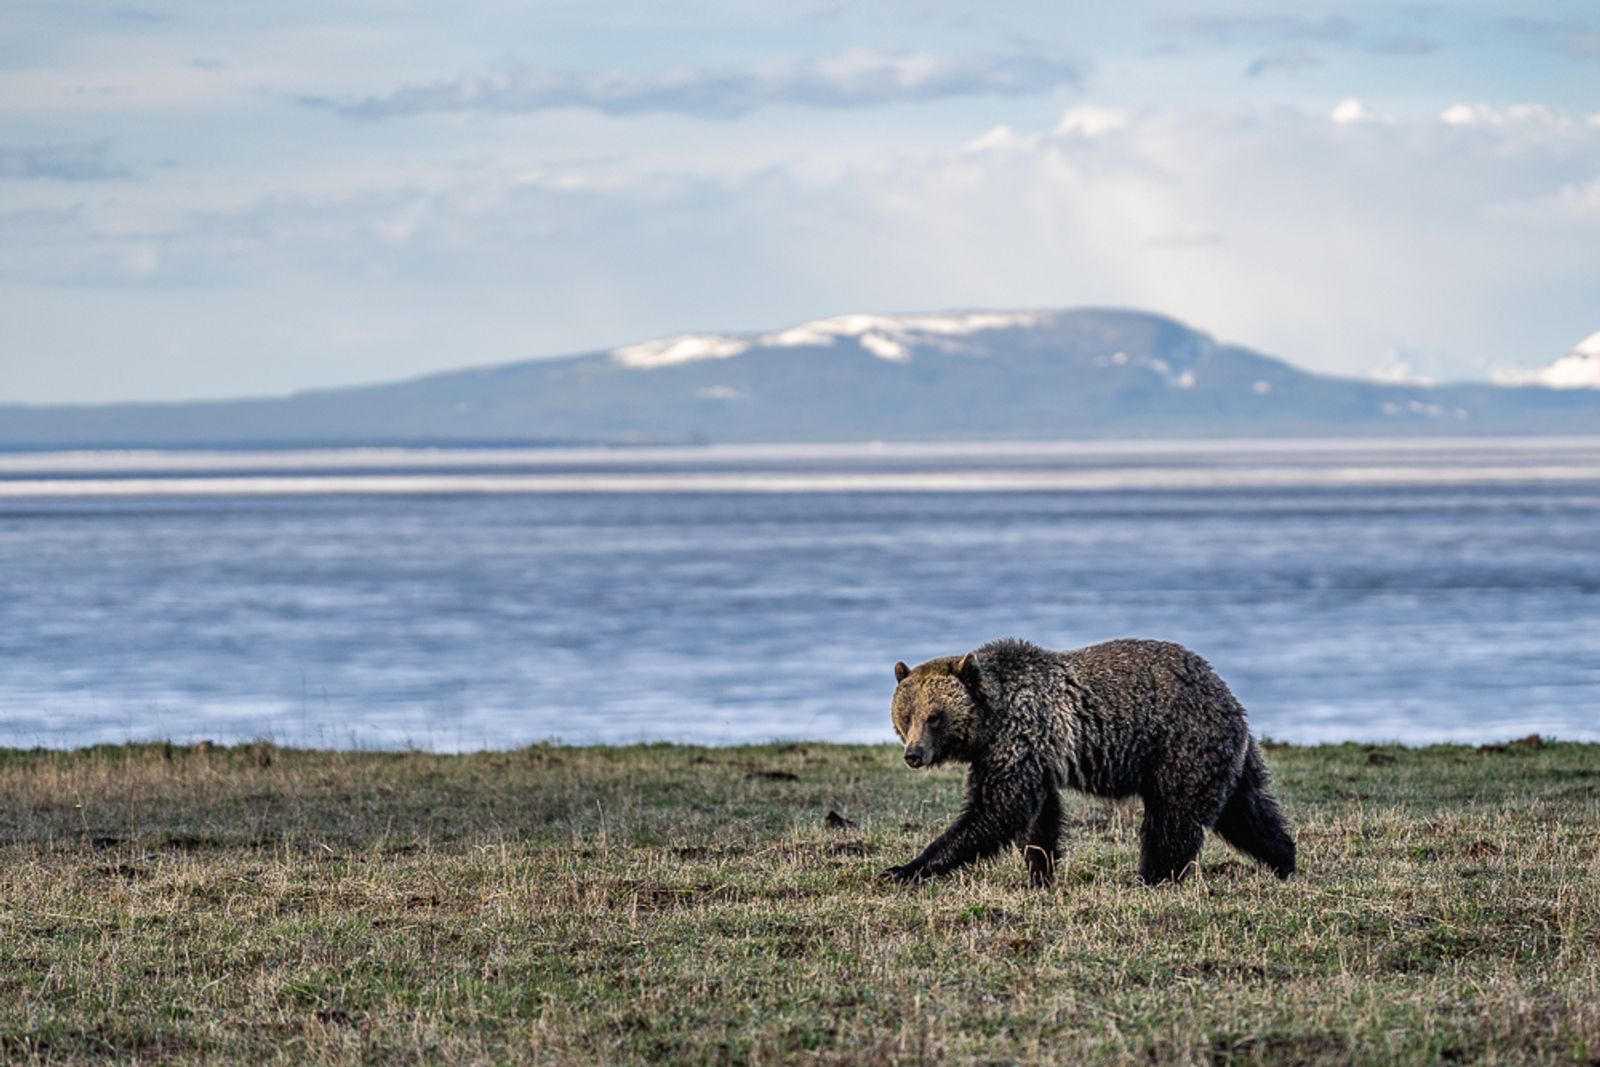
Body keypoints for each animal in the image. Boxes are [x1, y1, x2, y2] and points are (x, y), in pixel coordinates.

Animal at [882, 637, 1296, 886]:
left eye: (935, 716)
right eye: (906, 715)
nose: (914, 754)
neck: (993, 719)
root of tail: (1226, 695)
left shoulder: (1021, 738)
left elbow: (996, 809)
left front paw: (906, 867)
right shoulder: (1035, 755)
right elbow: (1038, 819)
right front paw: (1040, 872)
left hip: (1180, 745)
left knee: (1173, 819)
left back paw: (1153, 876)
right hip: (1227, 756)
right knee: (1249, 812)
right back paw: (1285, 860)